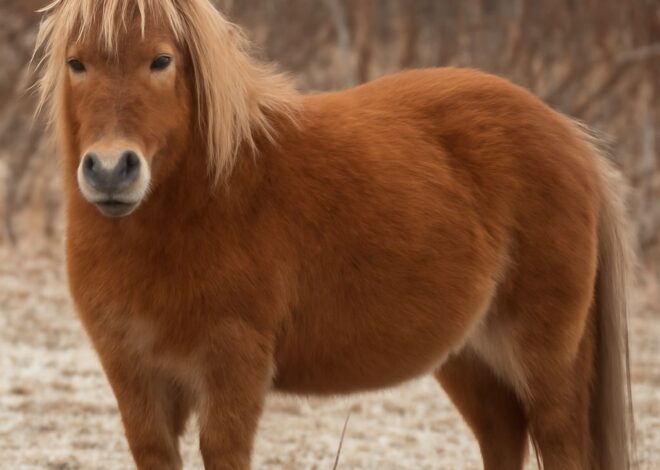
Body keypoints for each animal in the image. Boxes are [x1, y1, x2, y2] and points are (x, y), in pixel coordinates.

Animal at [34, 1, 634, 469]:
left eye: (161, 60)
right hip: (470, 358)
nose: (111, 171)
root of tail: (569, 136)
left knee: (559, 443)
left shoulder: (233, 367)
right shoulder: (133, 375)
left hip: (545, 361)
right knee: (501, 436)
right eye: (76, 63)